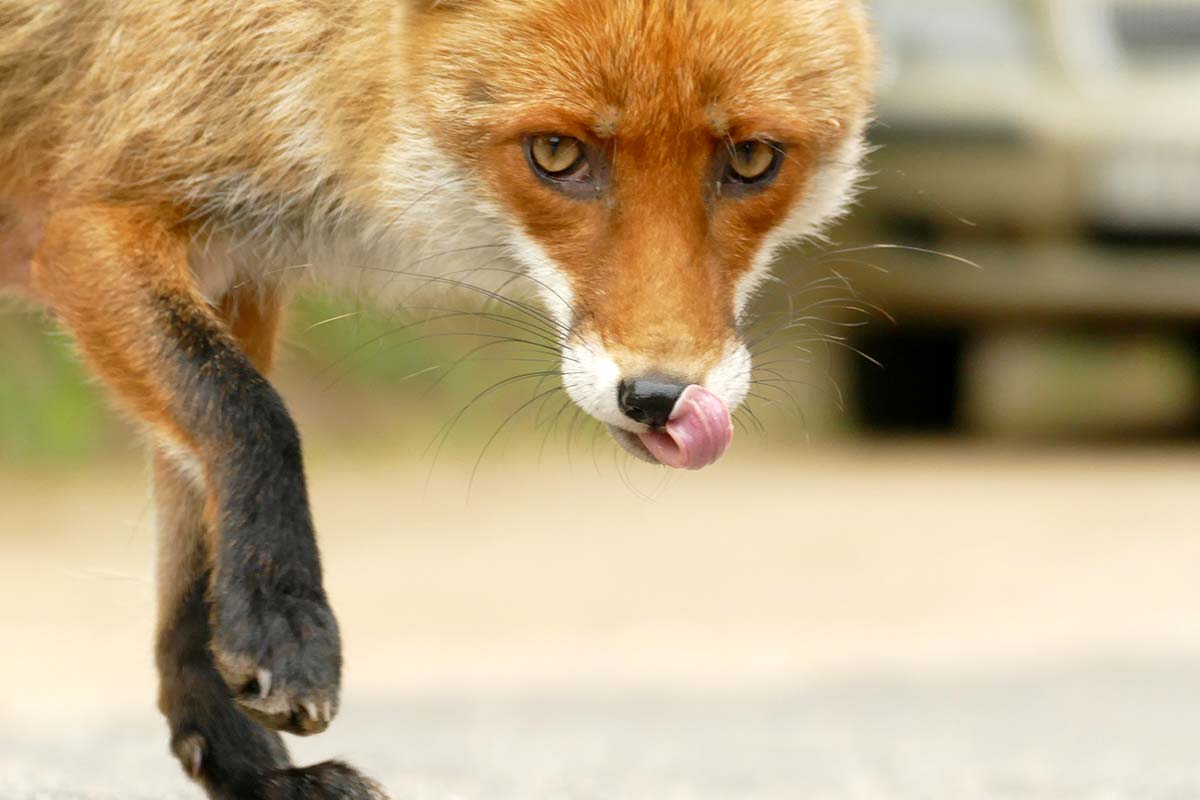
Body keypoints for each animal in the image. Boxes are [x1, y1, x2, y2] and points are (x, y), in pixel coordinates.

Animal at [0, 0, 875, 797]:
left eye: (752, 159)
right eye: (556, 152)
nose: (662, 398)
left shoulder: (234, 269)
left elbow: (194, 548)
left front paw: (245, 764)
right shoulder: (91, 222)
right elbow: (250, 416)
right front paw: (286, 629)